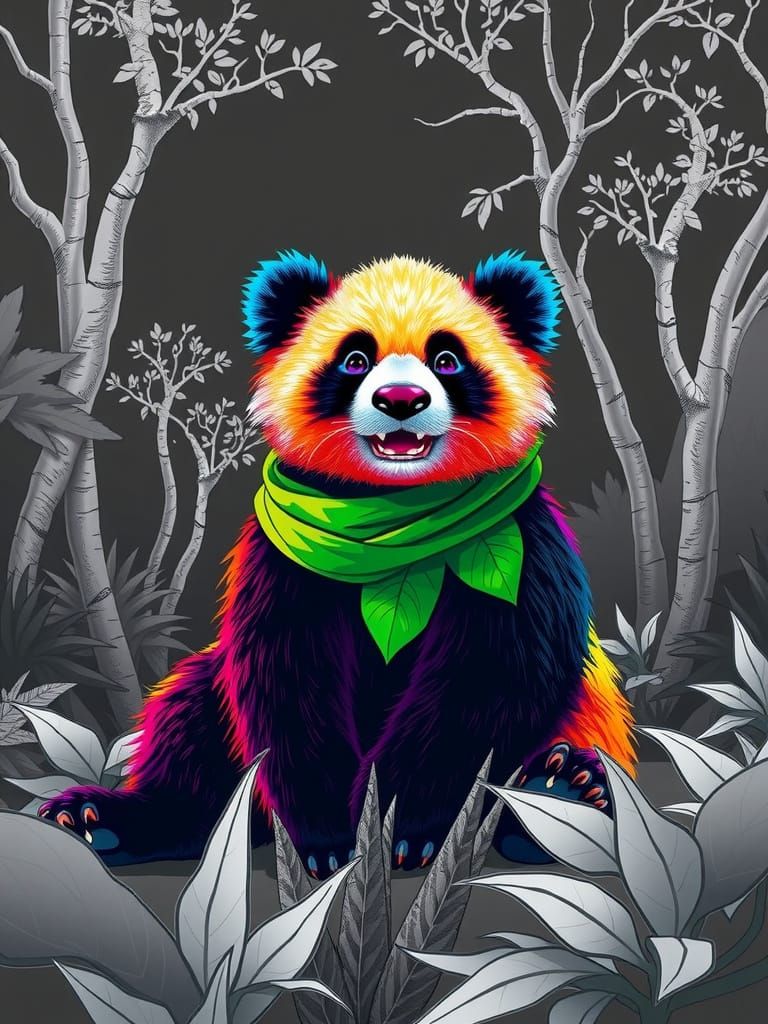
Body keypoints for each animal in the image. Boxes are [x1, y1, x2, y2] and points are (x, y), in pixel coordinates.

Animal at [39, 250, 635, 874]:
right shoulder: (289, 554)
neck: (395, 519)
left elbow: (491, 677)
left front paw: (399, 827)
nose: (401, 401)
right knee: (192, 727)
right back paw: (99, 821)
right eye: (355, 358)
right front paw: (329, 843)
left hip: (588, 716)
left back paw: (563, 790)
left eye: (447, 359)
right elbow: (289, 675)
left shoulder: (518, 547)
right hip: (215, 697)